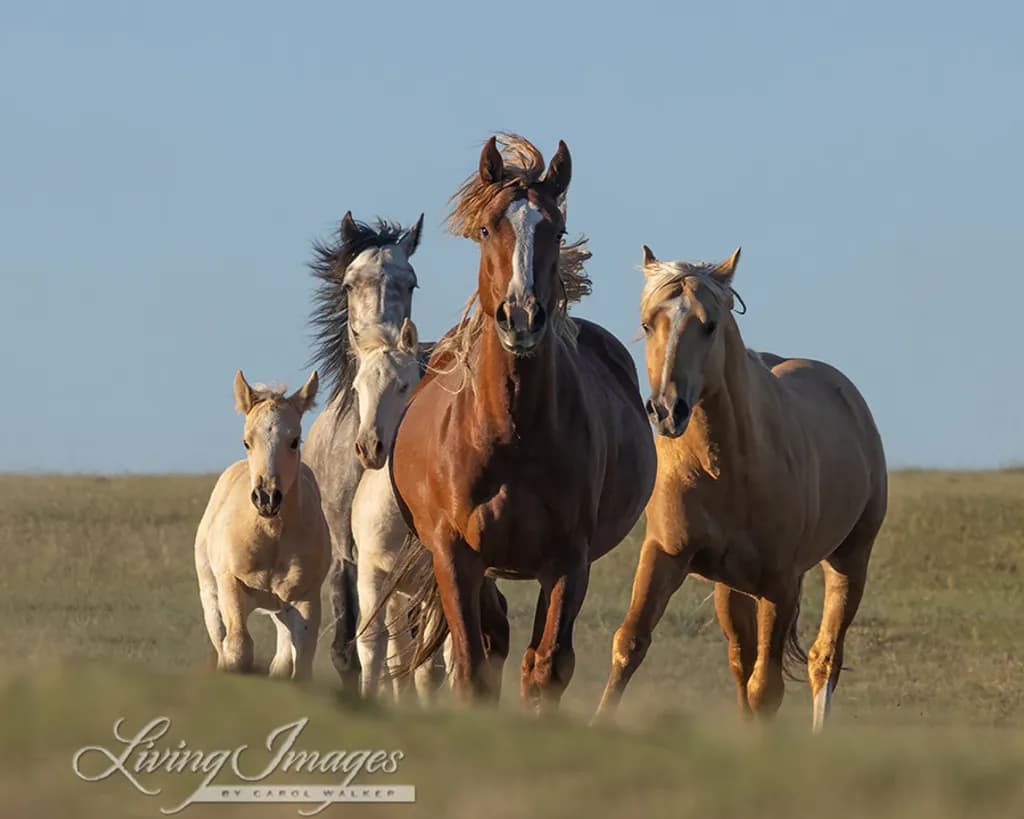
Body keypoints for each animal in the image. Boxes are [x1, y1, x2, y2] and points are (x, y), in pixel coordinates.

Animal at [194, 370, 329, 680]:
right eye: (247, 441)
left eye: (294, 440)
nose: (267, 497)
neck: (272, 535)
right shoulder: (231, 585)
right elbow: (237, 648)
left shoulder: (305, 599)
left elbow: (301, 665)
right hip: (211, 596)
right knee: (221, 639)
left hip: (280, 610)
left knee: (283, 658)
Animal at [387, 135, 657, 711]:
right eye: (488, 228)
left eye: (556, 229)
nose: (522, 318)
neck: (510, 435)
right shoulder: (456, 556)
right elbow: (471, 665)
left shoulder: (568, 561)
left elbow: (547, 667)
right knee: (493, 645)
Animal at [594, 246, 887, 732]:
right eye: (647, 324)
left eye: (709, 324)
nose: (666, 409)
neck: (723, 469)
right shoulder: (664, 554)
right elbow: (629, 643)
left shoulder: (781, 582)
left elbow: (766, 688)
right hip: (731, 588)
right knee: (741, 660)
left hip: (849, 560)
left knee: (823, 657)